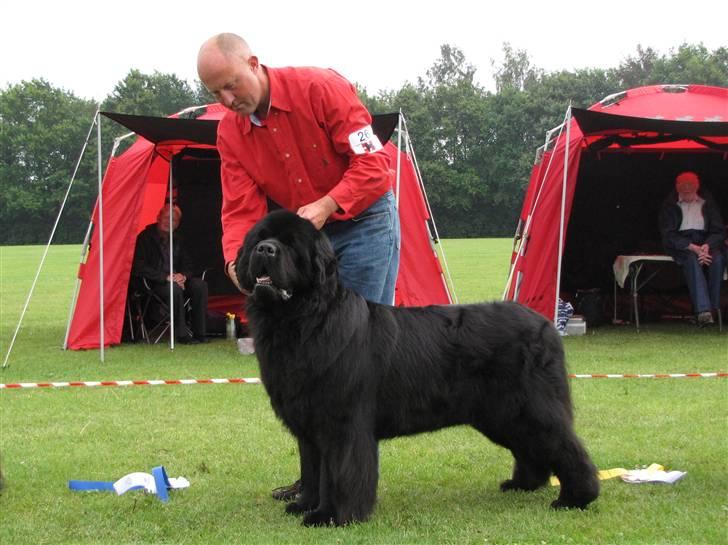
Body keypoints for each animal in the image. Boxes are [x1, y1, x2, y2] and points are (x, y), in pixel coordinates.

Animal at [236, 208, 600, 524]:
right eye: (260, 239)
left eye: (291, 245)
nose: (266, 250)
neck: (303, 320)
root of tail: (546, 324)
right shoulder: (309, 424)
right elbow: (312, 469)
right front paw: (304, 505)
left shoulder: (341, 423)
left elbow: (338, 472)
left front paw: (332, 516)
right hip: (502, 413)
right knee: (530, 446)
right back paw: (524, 485)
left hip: (529, 405)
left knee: (564, 445)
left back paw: (576, 497)